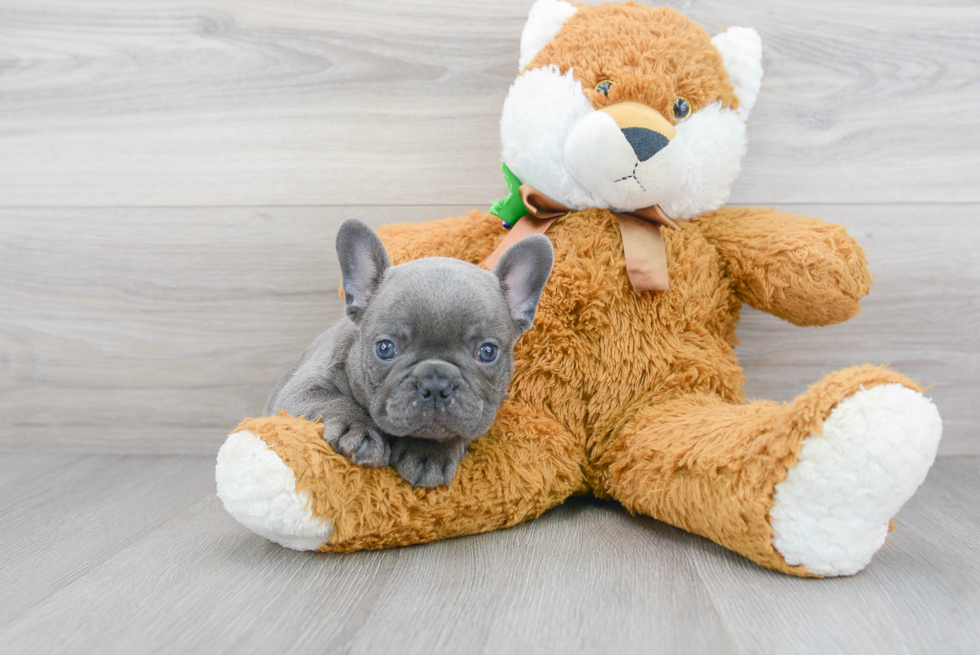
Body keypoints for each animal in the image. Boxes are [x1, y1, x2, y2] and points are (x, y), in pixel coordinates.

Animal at [264, 219, 556, 486]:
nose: (436, 383)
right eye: (385, 348)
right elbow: (334, 400)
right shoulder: (300, 390)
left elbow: (456, 430)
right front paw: (359, 430)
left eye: (487, 352)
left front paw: (429, 452)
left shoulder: (479, 414)